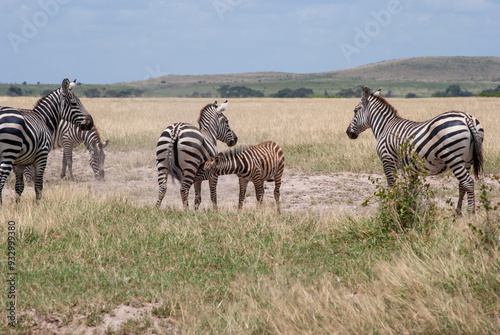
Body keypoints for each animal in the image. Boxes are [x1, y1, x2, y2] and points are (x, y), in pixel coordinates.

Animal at [346, 85, 482, 214]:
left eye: (355, 111)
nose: (348, 133)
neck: (384, 126)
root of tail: (466, 118)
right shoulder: (412, 167)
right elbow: (412, 190)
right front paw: (411, 208)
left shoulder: (387, 160)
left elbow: (392, 187)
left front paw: (393, 209)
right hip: (468, 160)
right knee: (462, 185)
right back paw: (458, 212)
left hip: (453, 157)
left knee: (468, 182)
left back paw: (470, 213)